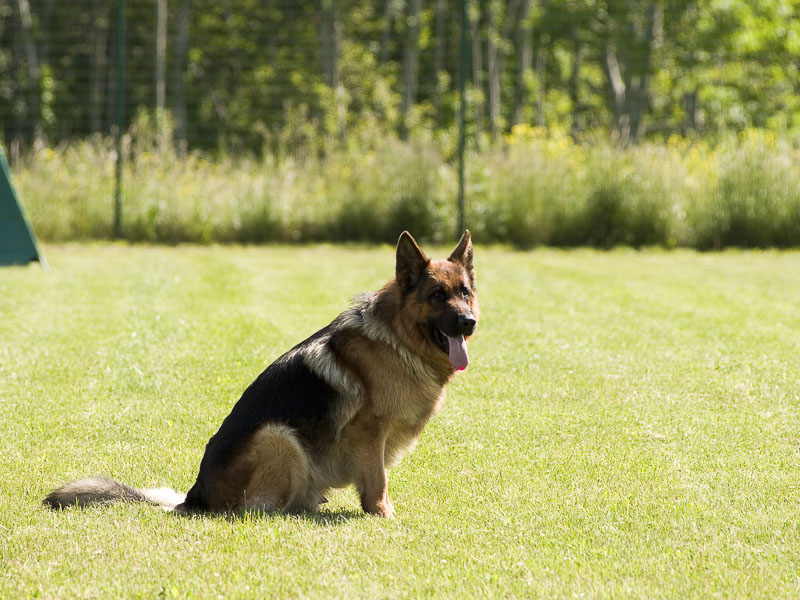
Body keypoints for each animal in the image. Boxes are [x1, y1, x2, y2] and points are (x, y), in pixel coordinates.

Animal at [43, 230, 478, 516]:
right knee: (260, 508)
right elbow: (377, 482)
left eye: (464, 293)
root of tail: (194, 497)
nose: (469, 323)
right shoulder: (370, 432)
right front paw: (383, 515)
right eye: (437, 295)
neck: (399, 339)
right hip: (278, 436)